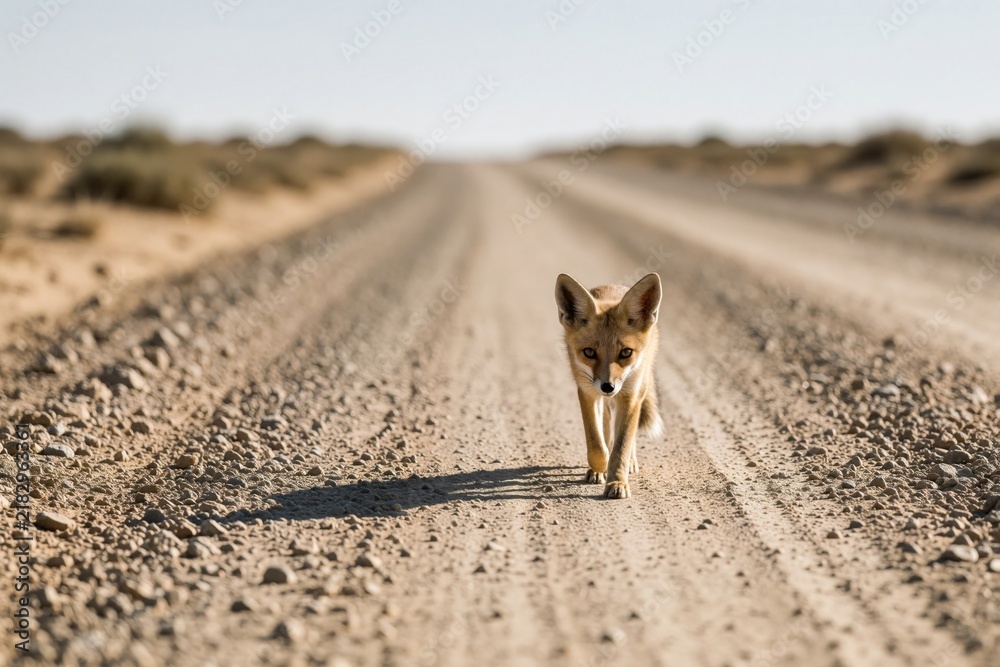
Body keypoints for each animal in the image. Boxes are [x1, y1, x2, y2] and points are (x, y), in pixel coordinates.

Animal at [555, 272, 663, 499]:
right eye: (589, 352)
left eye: (625, 352)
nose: (608, 387)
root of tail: (613, 286)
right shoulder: (586, 392)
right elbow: (597, 444)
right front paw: (600, 467)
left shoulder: (630, 396)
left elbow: (621, 447)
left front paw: (617, 482)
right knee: (604, 426)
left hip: (638, 389)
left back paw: (630, 462)